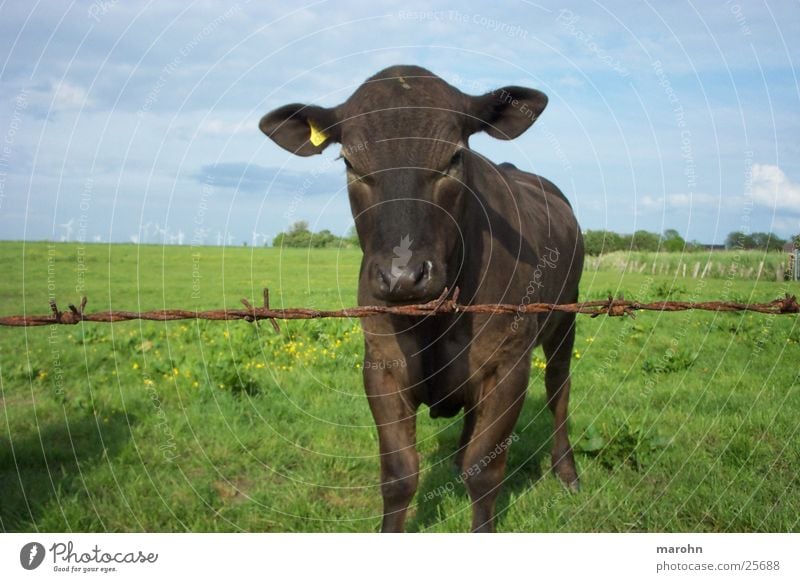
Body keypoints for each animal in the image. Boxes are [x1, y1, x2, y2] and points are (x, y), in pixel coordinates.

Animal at [260, 64, 580, 532]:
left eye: (454, 158)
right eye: (350, 162)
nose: (403, 277)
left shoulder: (508, 363)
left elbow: (486, 472)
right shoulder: (382, 364)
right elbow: (399, 476)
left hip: (565, 320)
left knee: (559, 389)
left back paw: (567, 470)